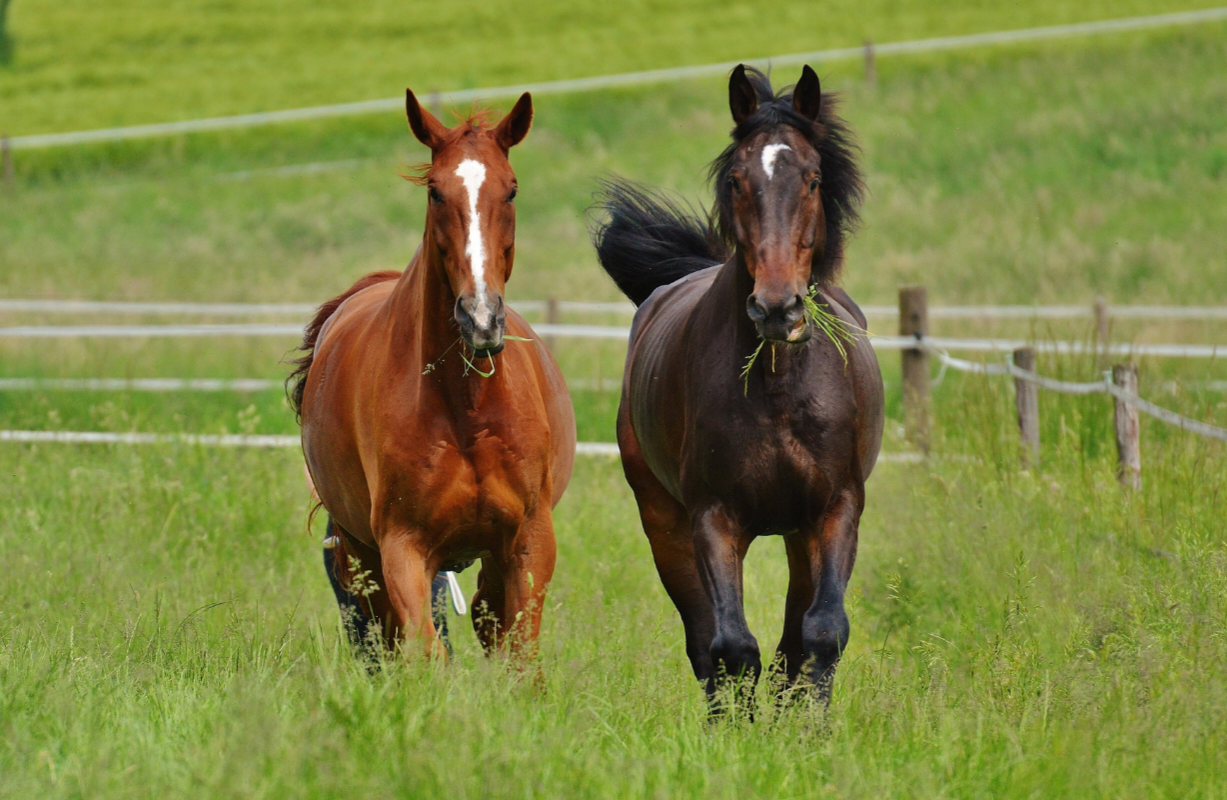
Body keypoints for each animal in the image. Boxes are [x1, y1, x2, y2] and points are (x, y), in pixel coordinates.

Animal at [289, 90, 576, 657]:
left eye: (511, 189)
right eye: (435, 192)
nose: (480, 318)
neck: (466, 409)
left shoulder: (529, 541)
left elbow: (518, 654)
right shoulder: (402, 547)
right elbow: (425, 650)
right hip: (363, 553)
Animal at [591, 67, 883, 701]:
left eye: (814, 179)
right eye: (736, 179)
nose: (776, 308)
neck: (778, 390)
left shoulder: (836, 508)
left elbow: (820, 634)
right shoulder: (713, 518)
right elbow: (731, 648)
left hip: (799, 535)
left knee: (793, 639)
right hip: (665, 524)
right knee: (706, 644)